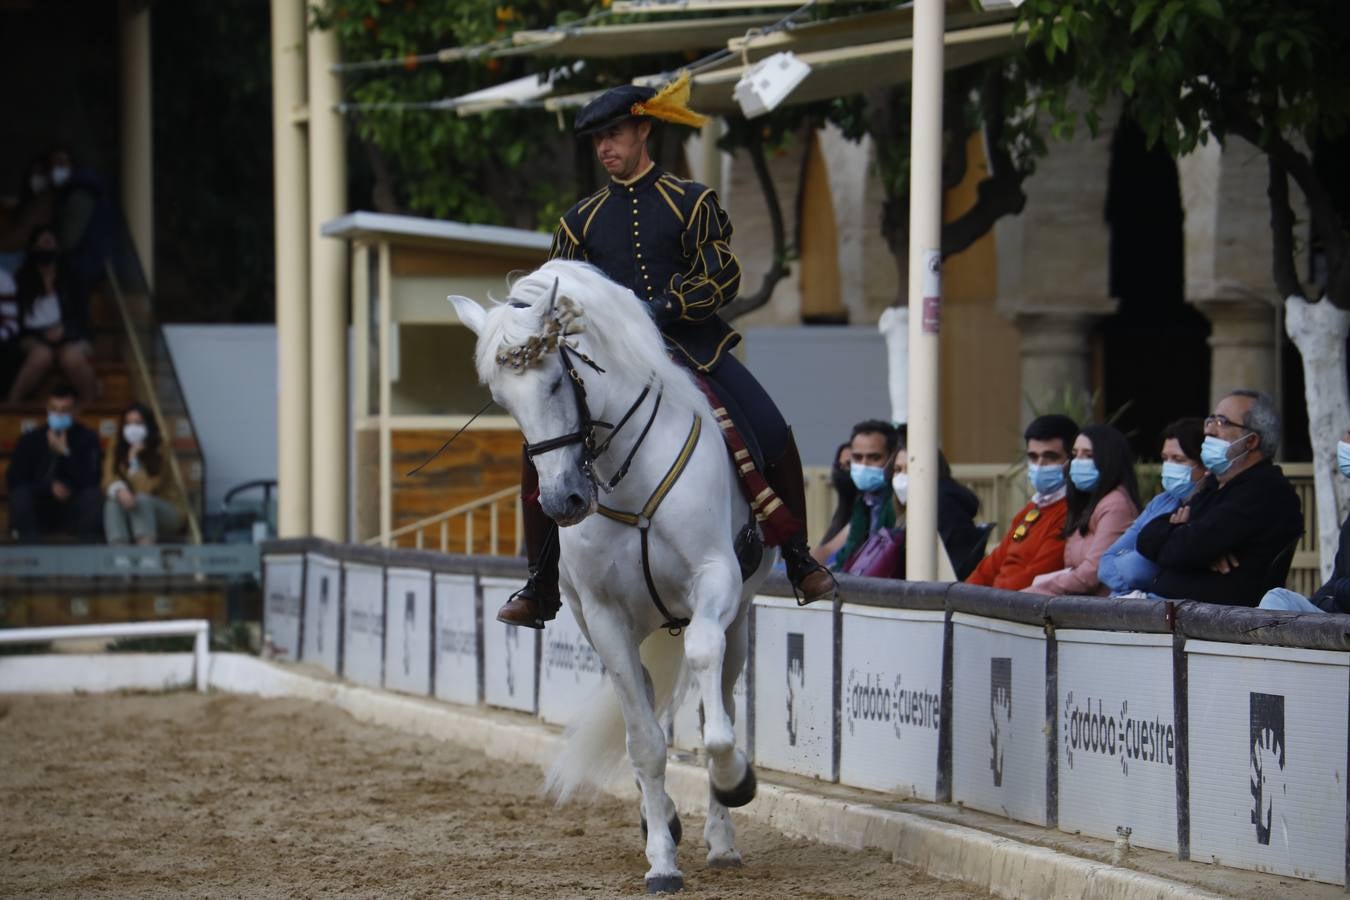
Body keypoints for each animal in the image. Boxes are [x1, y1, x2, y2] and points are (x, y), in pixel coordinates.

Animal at [453, 260, 772, 895]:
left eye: (557, 381)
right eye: (502, 400)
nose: (563, 502)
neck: (624, 471)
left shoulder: (716, 580)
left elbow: (710, 700)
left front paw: (735, 780)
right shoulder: (603, 617)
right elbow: (644, 742)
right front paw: (661, 860)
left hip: (739, 620)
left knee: (717, 693)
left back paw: (722, 839)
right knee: (644, 706)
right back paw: (664, 819)